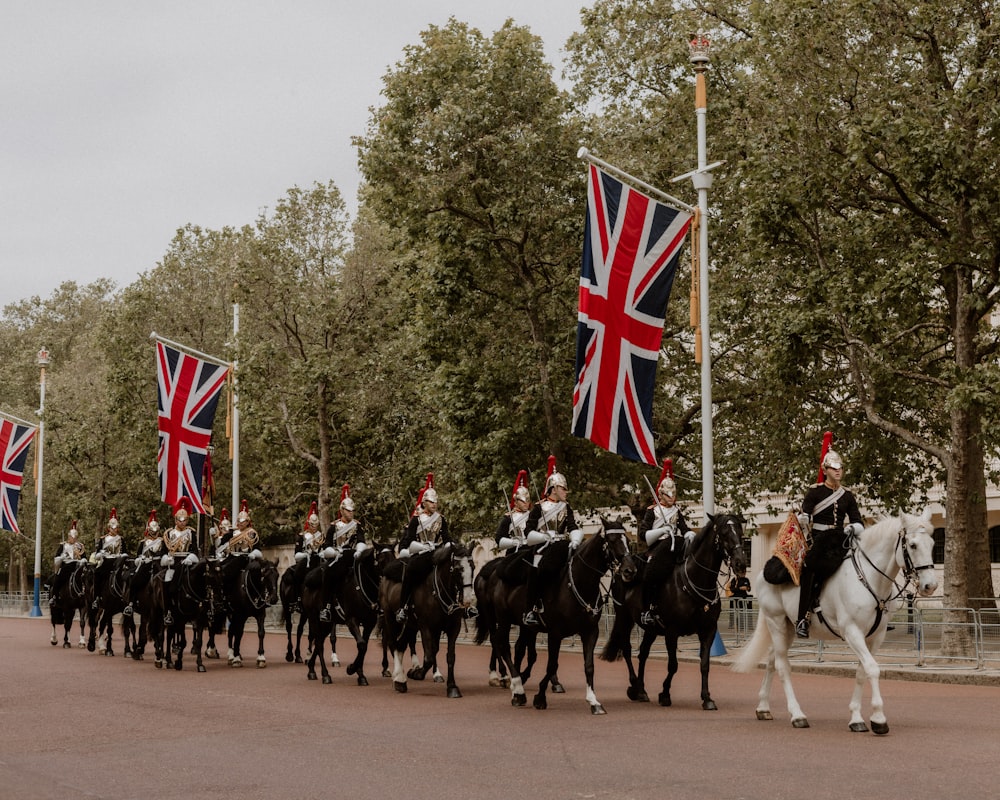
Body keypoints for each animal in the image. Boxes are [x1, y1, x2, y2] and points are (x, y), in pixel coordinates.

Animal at [380, 540, 478, 696]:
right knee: (392, 643)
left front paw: (452, 686)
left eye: (473, 567)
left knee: (401, 645)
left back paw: (399, 676)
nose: (468, 600)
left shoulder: (452, 628)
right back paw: (399, 678)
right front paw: (417, 673)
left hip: (409, 625)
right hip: (391, 619)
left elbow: (449, 656)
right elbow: (429, 657)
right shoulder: (425, 626)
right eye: (457, 569)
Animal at [474, 516, 624, 716]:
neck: (578, 584)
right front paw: (539, 697)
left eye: (627, 540)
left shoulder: (590, 632)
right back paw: (514, 686)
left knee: (515, 647)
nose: (630, 569)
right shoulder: (555, 633)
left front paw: (593, 701)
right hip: (500, 618)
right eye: (612, 541)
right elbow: (551, 663)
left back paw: (515, 682)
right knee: (501, 644)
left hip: (521, 624)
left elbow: (588, 666)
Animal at [596, 516, 748, 708]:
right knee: (628, 650)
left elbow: (705, 664)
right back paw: (634, 686)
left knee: (643, 653)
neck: (695, 581)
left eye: (740, 532)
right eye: (724, 534)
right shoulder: (672, 631)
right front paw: (665, 694)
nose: (741, 564)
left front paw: (707, 698)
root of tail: (621, 570)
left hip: (651, 628)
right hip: (624, 618)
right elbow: (673, 665)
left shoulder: (708, 630)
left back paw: (642, 689)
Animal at [736, 510, 936, 736]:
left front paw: (857, 718)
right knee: (782, 665)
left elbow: (861, 672)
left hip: (787, 628)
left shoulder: (876, 636)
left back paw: (763, 707)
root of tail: (764, 572)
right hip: (776, 621)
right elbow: (872, 668)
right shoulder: (852, 632)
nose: (930, 585)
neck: (869, 579)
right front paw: (878, 718)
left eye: (932, 543)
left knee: (772, 660)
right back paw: (797, 715)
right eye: (912, 545)